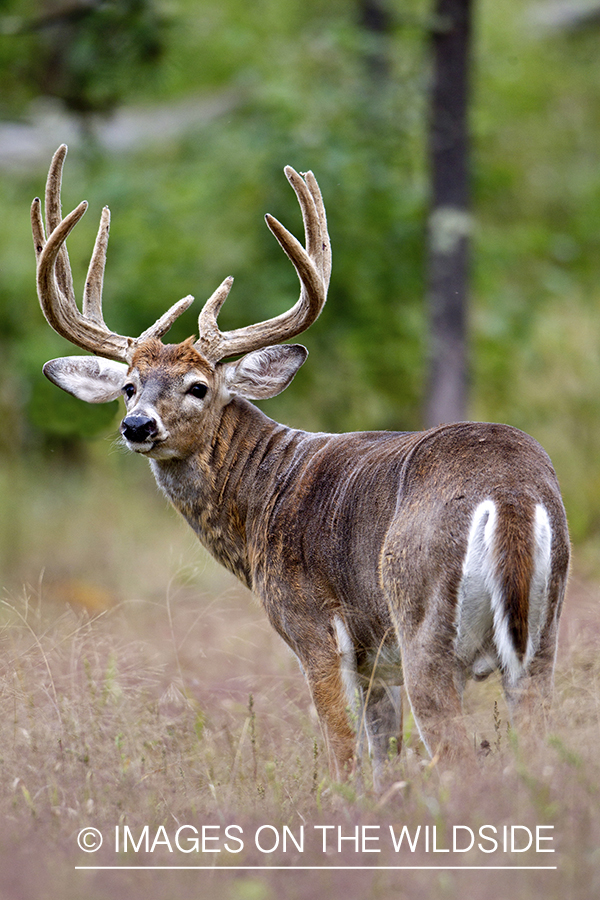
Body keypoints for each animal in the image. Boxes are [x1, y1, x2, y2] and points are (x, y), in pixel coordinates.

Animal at [34, 148, 572, 788]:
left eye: (198, 386)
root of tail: (510, 494)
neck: (265, 489)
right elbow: (382, 760)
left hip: (423, 620)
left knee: (454, 754)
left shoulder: (312, 624)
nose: (137, 426)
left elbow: (344, 756)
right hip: (542, 635)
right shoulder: (375, 663)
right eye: (129, 386)